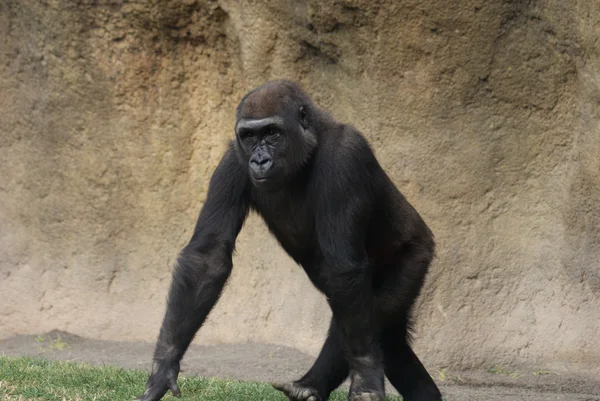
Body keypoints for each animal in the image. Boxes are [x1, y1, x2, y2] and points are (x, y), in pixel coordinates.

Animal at [138, 79, 442, 400]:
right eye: (249, 136)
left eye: (272, 133)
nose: (259, 160)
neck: (310, 146)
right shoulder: (233, 159)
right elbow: (208, 258)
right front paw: (164, 366)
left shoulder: (346, 155)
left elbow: (343, 268)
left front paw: (366, 377)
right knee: (387, 334)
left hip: (416, 253)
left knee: (371, 309)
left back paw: (314, 384)